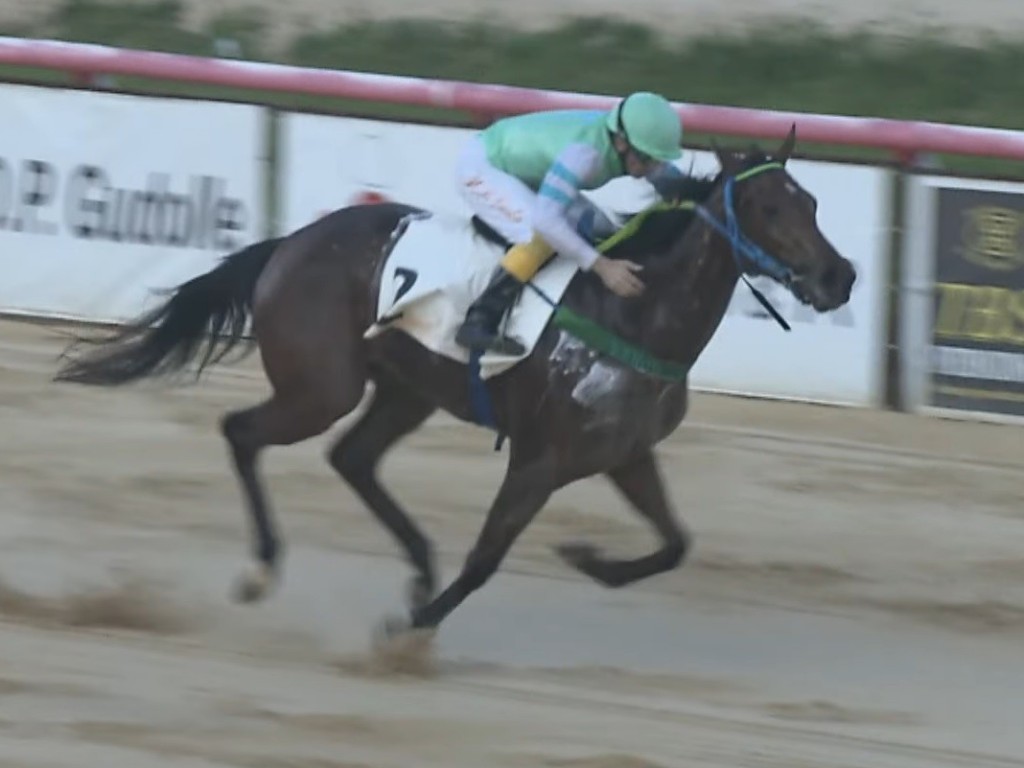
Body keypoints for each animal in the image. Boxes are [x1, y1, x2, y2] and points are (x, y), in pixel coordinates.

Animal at [54, 126, 856, 643]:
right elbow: (486, 559)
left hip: (403, 388)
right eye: (768, 207)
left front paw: (589, 560)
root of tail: (291, 243)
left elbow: (674, 544)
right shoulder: (541, 458)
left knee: (352, 459)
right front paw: (408, 631)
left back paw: (414, 566)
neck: (638, 312)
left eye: (813, 203)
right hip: (322, 387)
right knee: (243, 433)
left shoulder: (625, 452)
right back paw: (263, 569)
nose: (839, 277)